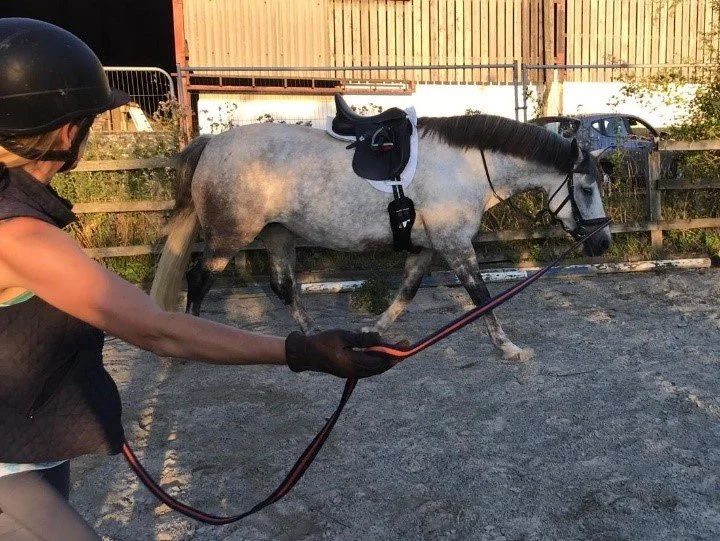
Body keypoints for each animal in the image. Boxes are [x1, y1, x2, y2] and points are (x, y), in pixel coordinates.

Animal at [150, 113, 612, 361]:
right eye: (587, 188)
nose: (603, 243)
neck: (464, 167)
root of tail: (212, 143)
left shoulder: (427, 247)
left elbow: (406, 293)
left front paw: (374, 330)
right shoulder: (455, 246)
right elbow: (482, 297)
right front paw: (509, 348)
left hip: (278, 235)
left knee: (283, 286)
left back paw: (313, 337)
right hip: (230, 236)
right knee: (200, 280)